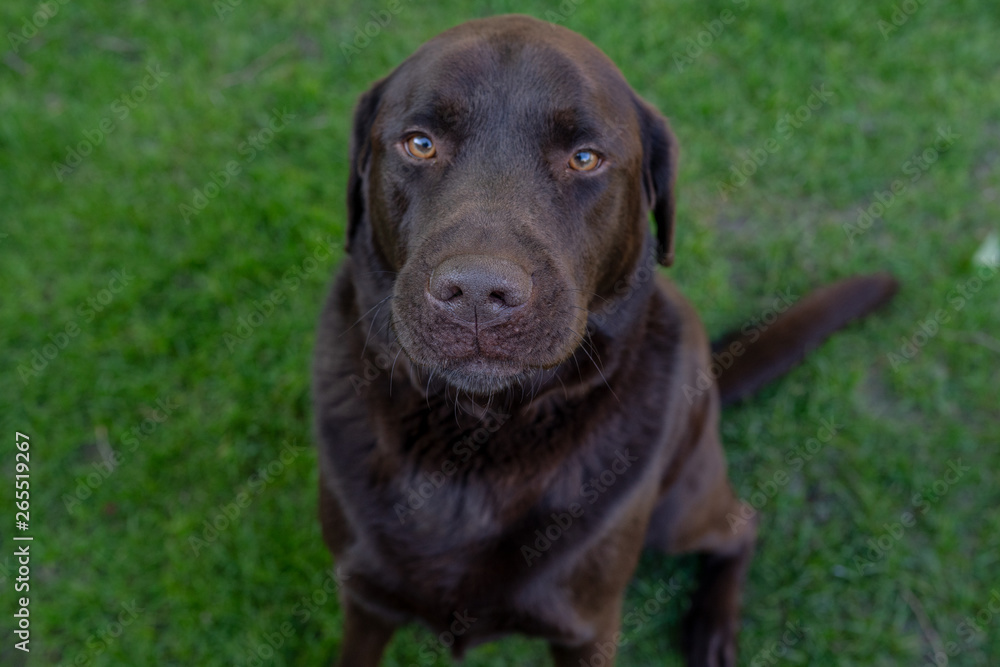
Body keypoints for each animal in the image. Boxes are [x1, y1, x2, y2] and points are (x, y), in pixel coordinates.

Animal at [312, 13, 900, 664]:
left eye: (585, 158)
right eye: (419, 143)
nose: (477, 293)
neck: (478, 439)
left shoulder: (587, 629)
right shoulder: (365, 599)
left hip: (678, 507)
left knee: (742, 525)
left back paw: (713, 627)